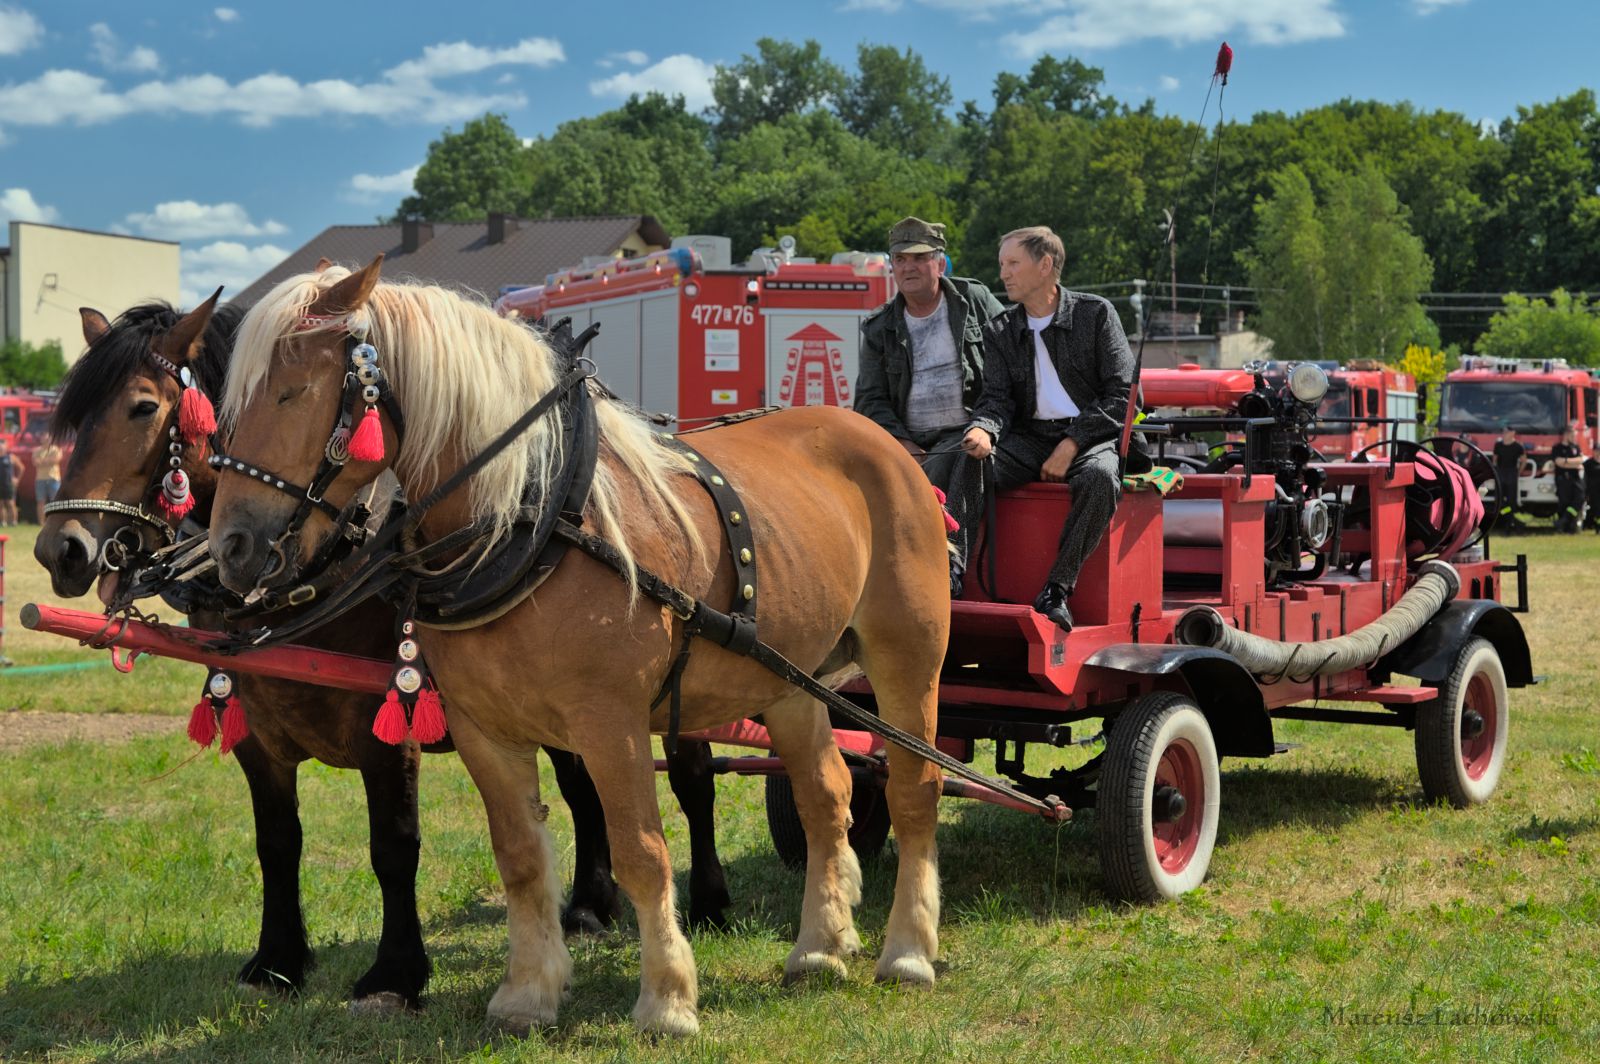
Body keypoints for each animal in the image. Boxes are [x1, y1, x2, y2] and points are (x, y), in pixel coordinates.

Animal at [34, 292, 732, 1012]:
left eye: (143, 407)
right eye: (74, 417)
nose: (62, 549)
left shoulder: (390, 726)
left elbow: (393, 845)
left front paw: (395, 971)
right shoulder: (258, 734)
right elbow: (276, 841)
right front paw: (278, 959)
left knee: (691, 778)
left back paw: (706, 903)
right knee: (582, 786)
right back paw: (590, 905)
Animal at [206, 256, 951, 1036]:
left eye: (293, 392)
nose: (232, 548)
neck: (529, 520)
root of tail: (875, 436)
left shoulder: (609, 725)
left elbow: (643, 853)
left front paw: (666, 999)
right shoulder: (483, 729)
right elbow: (520, 859)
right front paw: (528, 993)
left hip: (907, 658)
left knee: (914, 789)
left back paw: (907, 950)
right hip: (787, 678)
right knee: (825, 795)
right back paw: (820, 946)